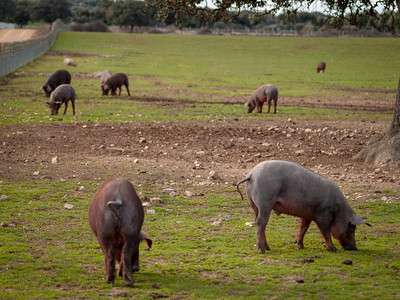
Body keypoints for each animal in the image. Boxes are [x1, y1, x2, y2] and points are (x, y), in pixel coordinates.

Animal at [236, 159, 370, 253]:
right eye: (352, 228)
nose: (355, 248)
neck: (338, 211)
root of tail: (251, 174)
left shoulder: (307, 214)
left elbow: (303, 228)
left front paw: (300, 246)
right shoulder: (323, 215)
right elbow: (325, 232)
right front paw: (333, 250)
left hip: (253, 204)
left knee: (257, 221)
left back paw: (268, 248)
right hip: (265, 202)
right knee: (261, 223)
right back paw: (263, 250)